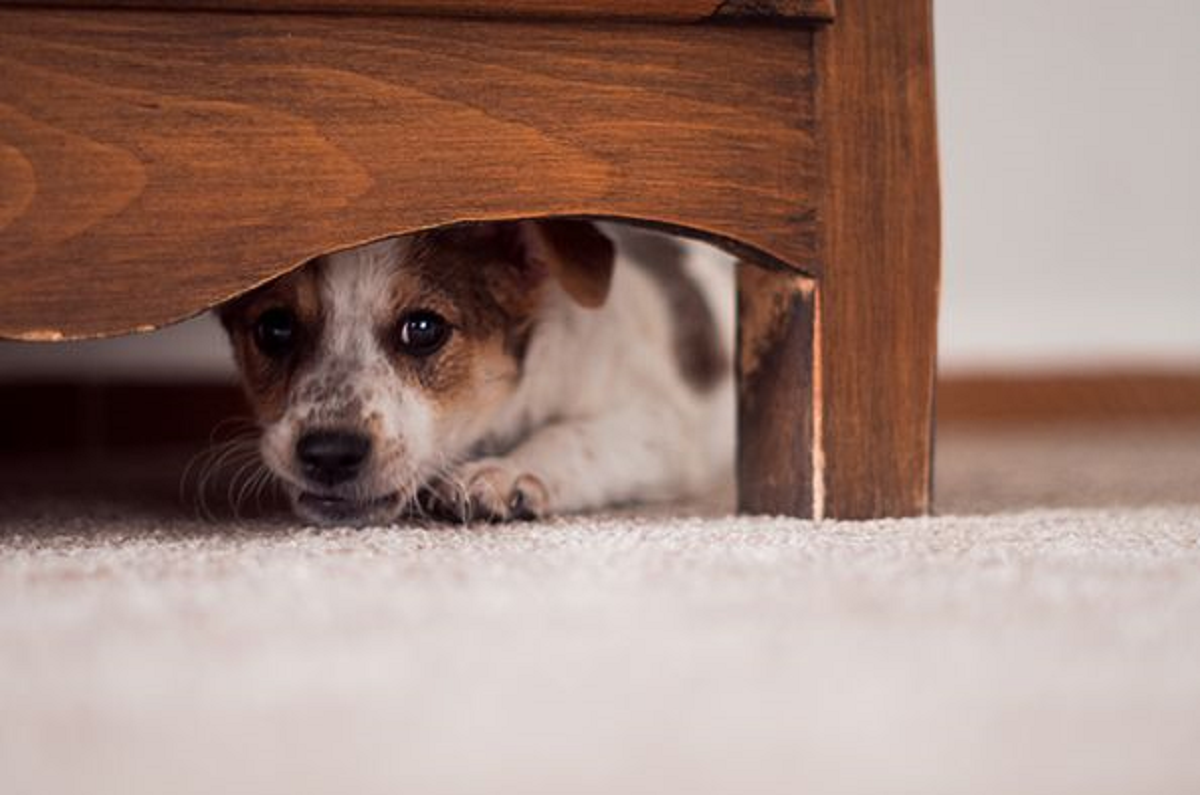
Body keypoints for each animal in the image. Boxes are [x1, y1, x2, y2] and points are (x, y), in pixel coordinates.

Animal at [220, 220, 734, 525]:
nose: (329, 454)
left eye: (424, 329)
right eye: (275, 328)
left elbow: (573, 435)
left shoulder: (658, 426)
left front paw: (507, 472)